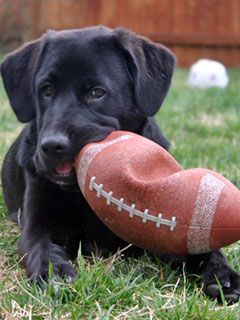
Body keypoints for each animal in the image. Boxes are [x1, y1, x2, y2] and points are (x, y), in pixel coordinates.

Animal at [0, 26, 239, 302]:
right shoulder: (38, 226)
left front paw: (222, 275)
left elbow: (206, 249)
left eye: (97, 92)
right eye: (46, 90)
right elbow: (42, 248)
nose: (51, 145)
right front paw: (55, 272)